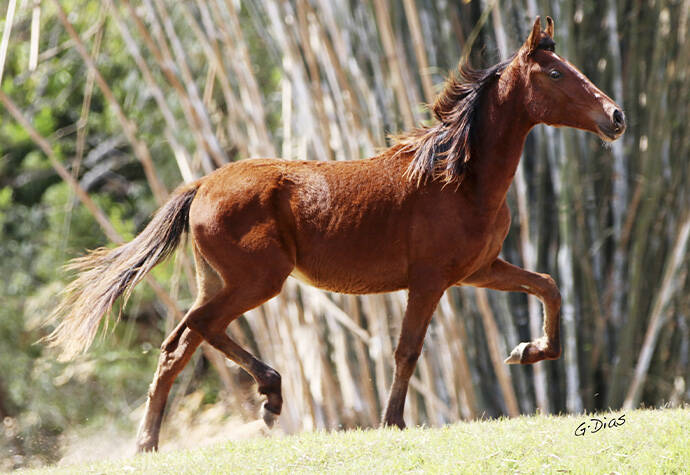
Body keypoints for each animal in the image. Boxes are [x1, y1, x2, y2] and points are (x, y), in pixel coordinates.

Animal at [44, 15, 624, 454]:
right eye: (556, 73)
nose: (616, 116)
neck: (458, 178)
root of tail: (202, 183)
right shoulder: (430, 280)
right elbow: (407, 349)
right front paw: (392, 421)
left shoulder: (479, 271)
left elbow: (548, 285)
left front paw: (528, 350)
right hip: (258, 280)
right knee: (197, 329)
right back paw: (269, 397)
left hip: (220, 281)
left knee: (178, 346)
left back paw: (152, 442)